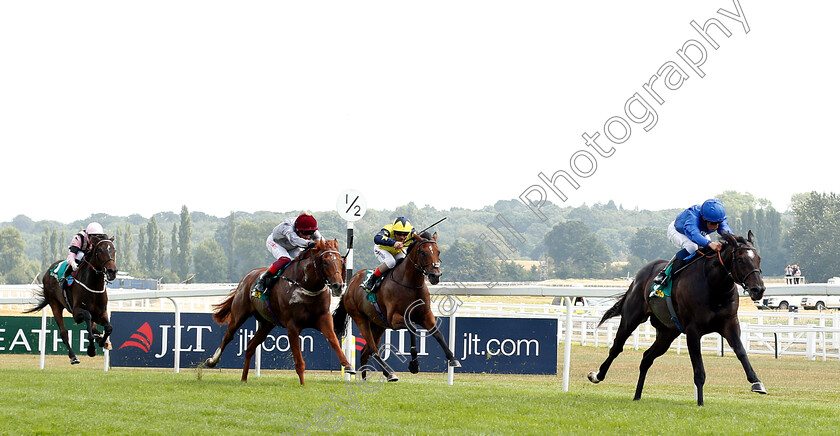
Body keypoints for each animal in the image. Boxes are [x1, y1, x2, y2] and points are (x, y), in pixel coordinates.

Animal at [25, 235, 117, 364]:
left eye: (114, 250)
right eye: (100, 250)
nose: (112, 271)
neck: (93, 286)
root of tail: (48, 271)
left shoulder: (101, 312)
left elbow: (108, 328)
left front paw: (103, 342)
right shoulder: (77, 313)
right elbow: (88, 322)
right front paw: (91, 349)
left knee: (93, 327)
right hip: (55, 304)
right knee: (64, 333)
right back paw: (73, 357)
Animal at [207, 238, 358, 384]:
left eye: (341, 262)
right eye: (325, 262)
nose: (338, 286)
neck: (306, 286)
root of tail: (246, 277)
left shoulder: (323, 318)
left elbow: (333, 339)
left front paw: (348, 366)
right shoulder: (292, 326)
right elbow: (299, 361)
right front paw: (303, 385)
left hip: (266, 323)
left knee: (250, 346)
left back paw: (244, 379)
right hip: (239, 313)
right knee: (229, 335)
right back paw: (213, 360)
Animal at [332, 232, 460, 382]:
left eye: (438, 251)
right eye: (423, 252)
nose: (436, 275)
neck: (410, 284)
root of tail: (351, 283)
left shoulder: (425, 315)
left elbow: (438, 334)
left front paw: (453, 358)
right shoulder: (394, 319)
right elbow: (412, 327)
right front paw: (414, 365)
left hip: (378, 324)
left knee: (366, 351)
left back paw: (370, 377)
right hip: (360, 319)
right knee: (373, 350)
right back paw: (390, 373)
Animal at [588, 232, 764, 406]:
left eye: (758, 258)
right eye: (740, 260)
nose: (759, 289)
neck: (714, 287)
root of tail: (639, 277)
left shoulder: (730, 323)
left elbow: (741, 352)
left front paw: (757, 382)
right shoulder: (693, 330)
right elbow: (699, 369)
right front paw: (700, 403)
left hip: (667, 332)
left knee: (646, 357)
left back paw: (637, 395)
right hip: (631, 318)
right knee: (616, 347)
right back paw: (597, 376)